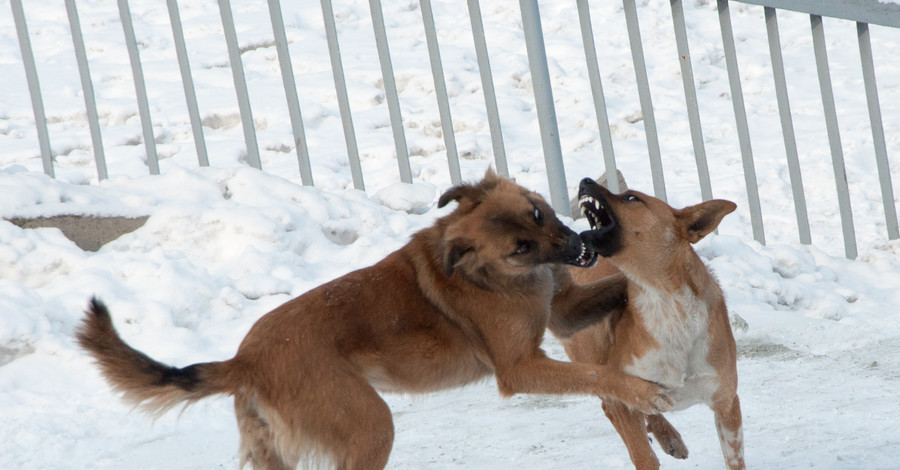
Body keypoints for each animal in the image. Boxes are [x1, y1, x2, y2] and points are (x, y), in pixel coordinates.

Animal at [75, 171, 668, 470]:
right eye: (521, 246)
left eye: (538, 212)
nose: (577, 247)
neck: (488, 272)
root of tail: (244, 360)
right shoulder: (520, 367)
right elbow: (596, 374)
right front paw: (642, 391)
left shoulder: (564, 313)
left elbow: (618, 290)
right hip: (369, 424)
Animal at [568, 177, 740, 470]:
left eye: (631, 198)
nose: (584, 180)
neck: (666, 303)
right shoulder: (621, 396)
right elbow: (643, 455)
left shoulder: (726, 403)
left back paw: (668, 436)